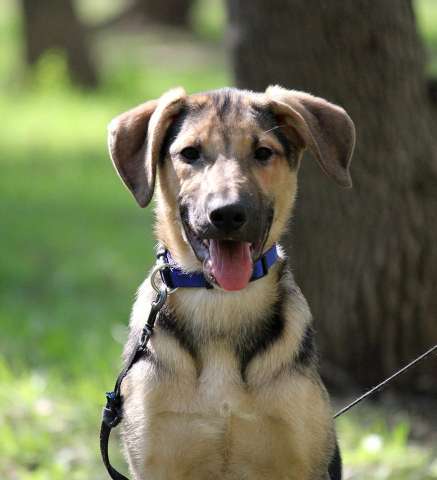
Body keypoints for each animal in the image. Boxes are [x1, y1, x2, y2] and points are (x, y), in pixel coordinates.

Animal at [106, 87, 354, 480]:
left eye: (263, 152)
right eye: (190, 153)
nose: (227, 214)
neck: (221, 304)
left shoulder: (301, 459)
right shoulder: (158, 459)